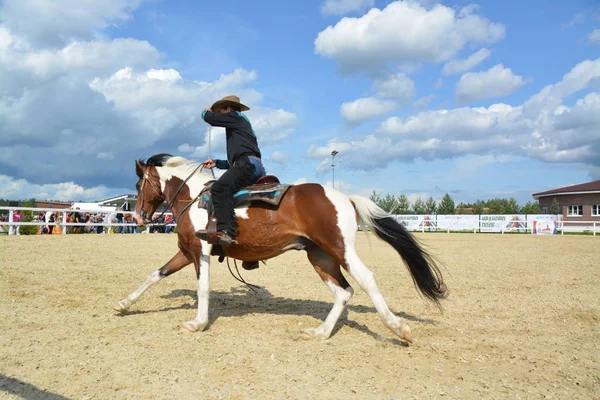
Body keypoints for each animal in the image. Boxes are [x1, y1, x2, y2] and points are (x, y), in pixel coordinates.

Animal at [115, 155, 448, 342]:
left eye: (138, 185)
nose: (138, 217)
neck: (193, 198)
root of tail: (344, 197)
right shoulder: (186, 252)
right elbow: (154, 275)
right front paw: (123, 305)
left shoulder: (200, 251)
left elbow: (203, 288)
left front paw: (197, 323)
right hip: (320, 256)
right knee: (343, 292)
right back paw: (320, 333)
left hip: (339, 249)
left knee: (365, 279)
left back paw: (397, 327)